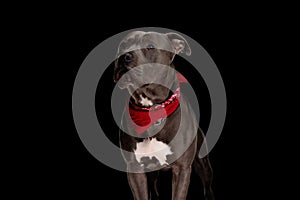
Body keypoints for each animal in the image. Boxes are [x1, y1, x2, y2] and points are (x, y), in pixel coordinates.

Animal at [113, 30, 214, 199]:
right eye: (122, 46)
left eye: (150, 47)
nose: (123, 56)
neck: (151, 110)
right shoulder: (135, 169)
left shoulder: (182, 168)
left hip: (203, 164)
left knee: (208, 185)